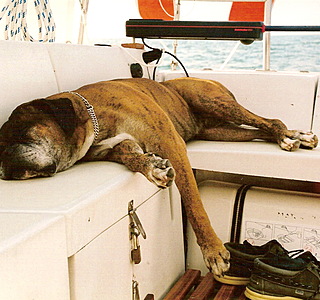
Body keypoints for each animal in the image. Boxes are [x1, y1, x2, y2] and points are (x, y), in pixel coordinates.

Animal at [0, 77, 318, 274]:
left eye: (22, 133)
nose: (4, 167)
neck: (91, 116)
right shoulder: (118, 147)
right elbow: (131, 155)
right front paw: (151, 166)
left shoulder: (170, 142)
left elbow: (193, 202)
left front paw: (213, 250)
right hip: (221, 131)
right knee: (261, 129)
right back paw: (293, 136)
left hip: (211, 100)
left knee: (269, 121)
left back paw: (290, 136)